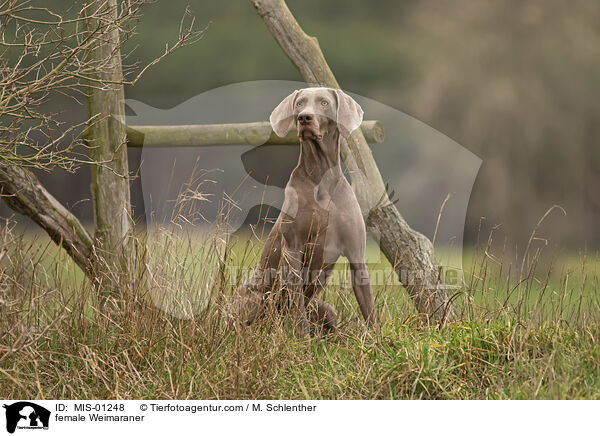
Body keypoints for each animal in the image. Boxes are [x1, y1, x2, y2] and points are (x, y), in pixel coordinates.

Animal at [233, 87, 376, 336]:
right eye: (299, 103)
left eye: (324, 102)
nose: (304, 118)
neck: (321, 178)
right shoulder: (293, 249)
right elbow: (297, 304)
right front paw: (300, 337)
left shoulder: (356, 255)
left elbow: (369, 308)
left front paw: (377, 338)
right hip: (255, 299)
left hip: (326, 309)